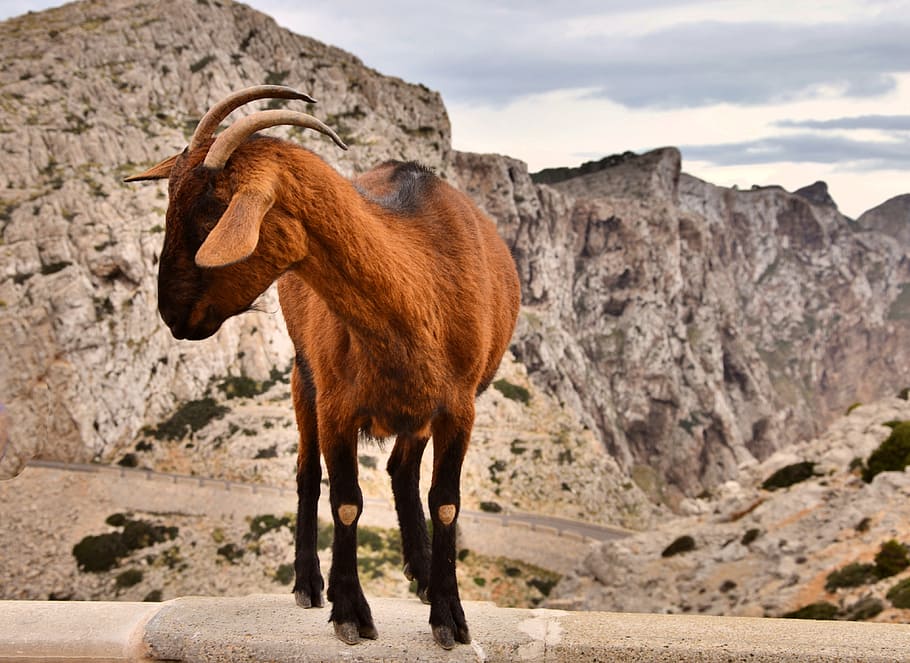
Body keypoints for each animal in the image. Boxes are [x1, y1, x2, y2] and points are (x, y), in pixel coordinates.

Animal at [126, 85, 521, 648]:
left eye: (210, 211)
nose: (171, 314)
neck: (419, 286)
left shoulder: (457, 408)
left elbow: (445, 501)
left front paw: (449, 614)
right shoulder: (337, 404)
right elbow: (346, 501)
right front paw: (350, 610)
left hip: (415, 409)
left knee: (400, 470)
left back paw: (422, 573)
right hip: (303, 377)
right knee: (308, 475)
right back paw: (313, 584)